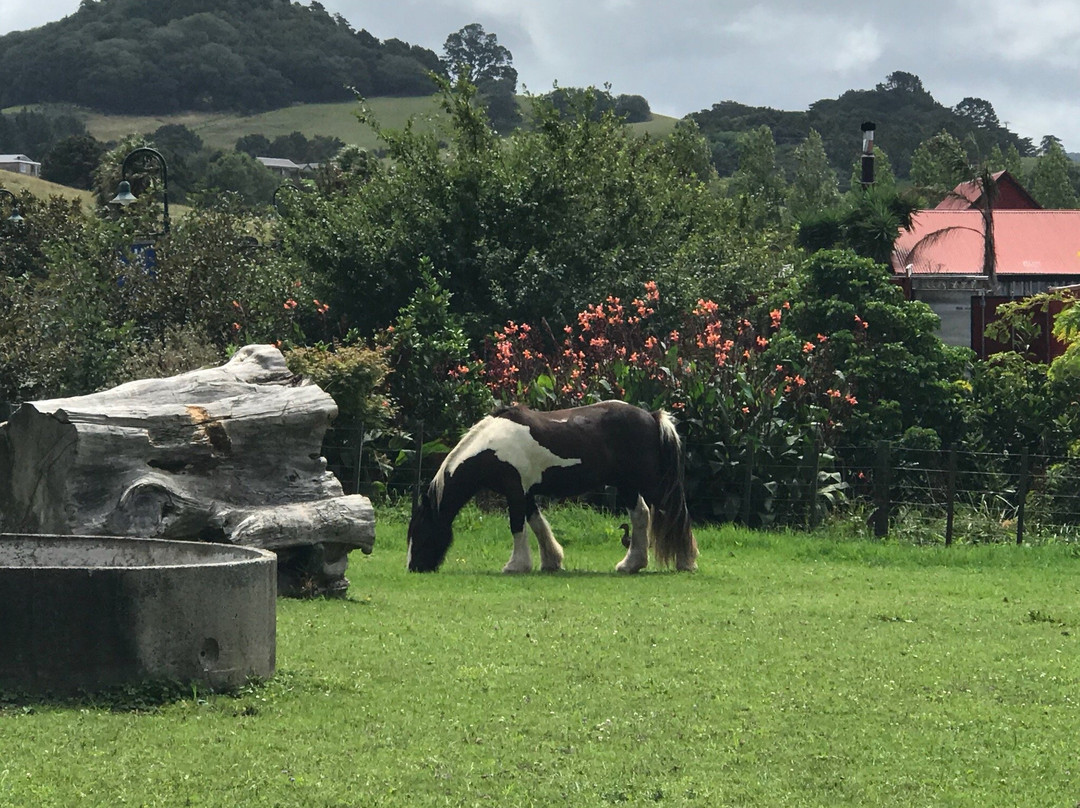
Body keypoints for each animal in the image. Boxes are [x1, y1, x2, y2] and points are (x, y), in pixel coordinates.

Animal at [406, 400, 698, 573]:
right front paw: (551, 561)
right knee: (641, 516)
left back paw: (686, 561)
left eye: (422, 532)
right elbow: (537, 524)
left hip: (650, 483)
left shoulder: (515, 491)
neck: (491, 446)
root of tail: (651, 416)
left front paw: (515, 565)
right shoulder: (525, 493)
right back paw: (630, 564)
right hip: (627, 485)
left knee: (674, 513)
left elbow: (517, 526)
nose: (414, 567)